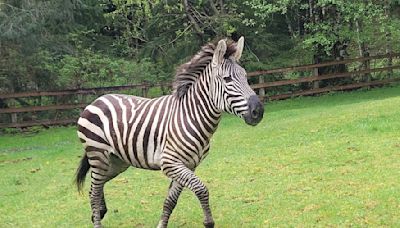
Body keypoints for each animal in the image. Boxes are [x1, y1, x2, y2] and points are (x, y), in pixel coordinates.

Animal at [75, 36, 264, 227]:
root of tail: (97, 100)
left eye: (246, 77)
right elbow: (201, 188)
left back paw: (99, 211)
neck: (191, 116)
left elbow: (170, 201)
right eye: (227, 79)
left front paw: (162, 224)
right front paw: (208, 222)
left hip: (117, 161)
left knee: (95, 186)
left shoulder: (188, 165)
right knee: (95, 191)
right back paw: (97, 219)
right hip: (98, 154)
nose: (259, 111)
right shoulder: (170, 162)